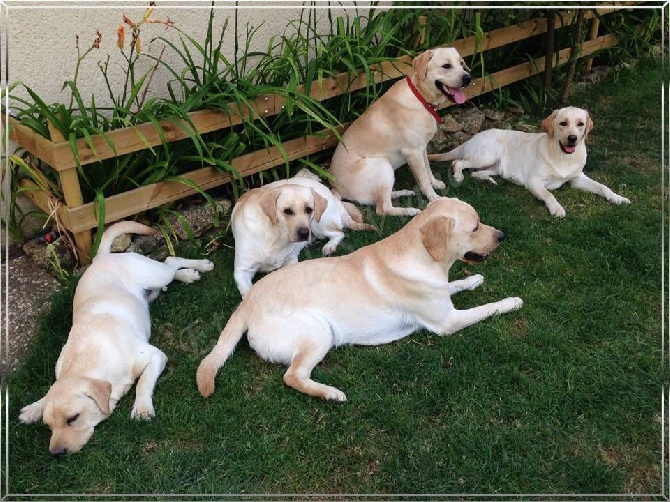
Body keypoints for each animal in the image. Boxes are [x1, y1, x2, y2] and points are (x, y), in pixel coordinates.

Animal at [19, 222, 215, 452]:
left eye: (73, 418)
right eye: (49, 426)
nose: (56, 453)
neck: (85, 361)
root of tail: (102, 257)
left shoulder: (155, 356)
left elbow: (143, 383)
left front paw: (142, 409)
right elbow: (48, 393)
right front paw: (34, 408)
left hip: (154, 274)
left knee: (170, 260)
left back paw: (200, 266)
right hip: (151, 291)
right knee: (167, 272)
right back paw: (187, 275)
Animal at [197, 198, 524, 402]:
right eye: (475, 227)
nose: (503, 235)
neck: (423, 257)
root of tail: (247, 302)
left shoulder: (442, 297)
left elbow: (454, 285)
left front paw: (473, 280)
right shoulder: (448, 321)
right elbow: (486, 308)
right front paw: (511, 301)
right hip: (318, 332)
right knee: (293, 376)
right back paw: (330, 393)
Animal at [330, 47, 472, 218]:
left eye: (461, 63)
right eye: (446, 66)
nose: (468, 78)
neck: (420, 97)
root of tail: (335, 188)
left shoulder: (422, 148)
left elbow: (428, 170)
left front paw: (436, 184)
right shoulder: (413, 152)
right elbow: (424, 179)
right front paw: (434, 198)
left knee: (380, 198)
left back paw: (402, 192)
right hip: (381, 164)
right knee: (382, 208)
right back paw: (410, 210)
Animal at [428, 106, 632, 216]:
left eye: (580, 124)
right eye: (563, 123)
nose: (573, 138)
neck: (563, 156)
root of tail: (473, 137)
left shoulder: (577, 179)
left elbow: (602, 187)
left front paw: (617, 197)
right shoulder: (534, 181)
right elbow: (549, 194)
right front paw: (556, 208)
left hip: (495, 166)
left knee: (478, 173)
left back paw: (490, 181)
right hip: (488, 154)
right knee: (458, 163)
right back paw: (458, 176)